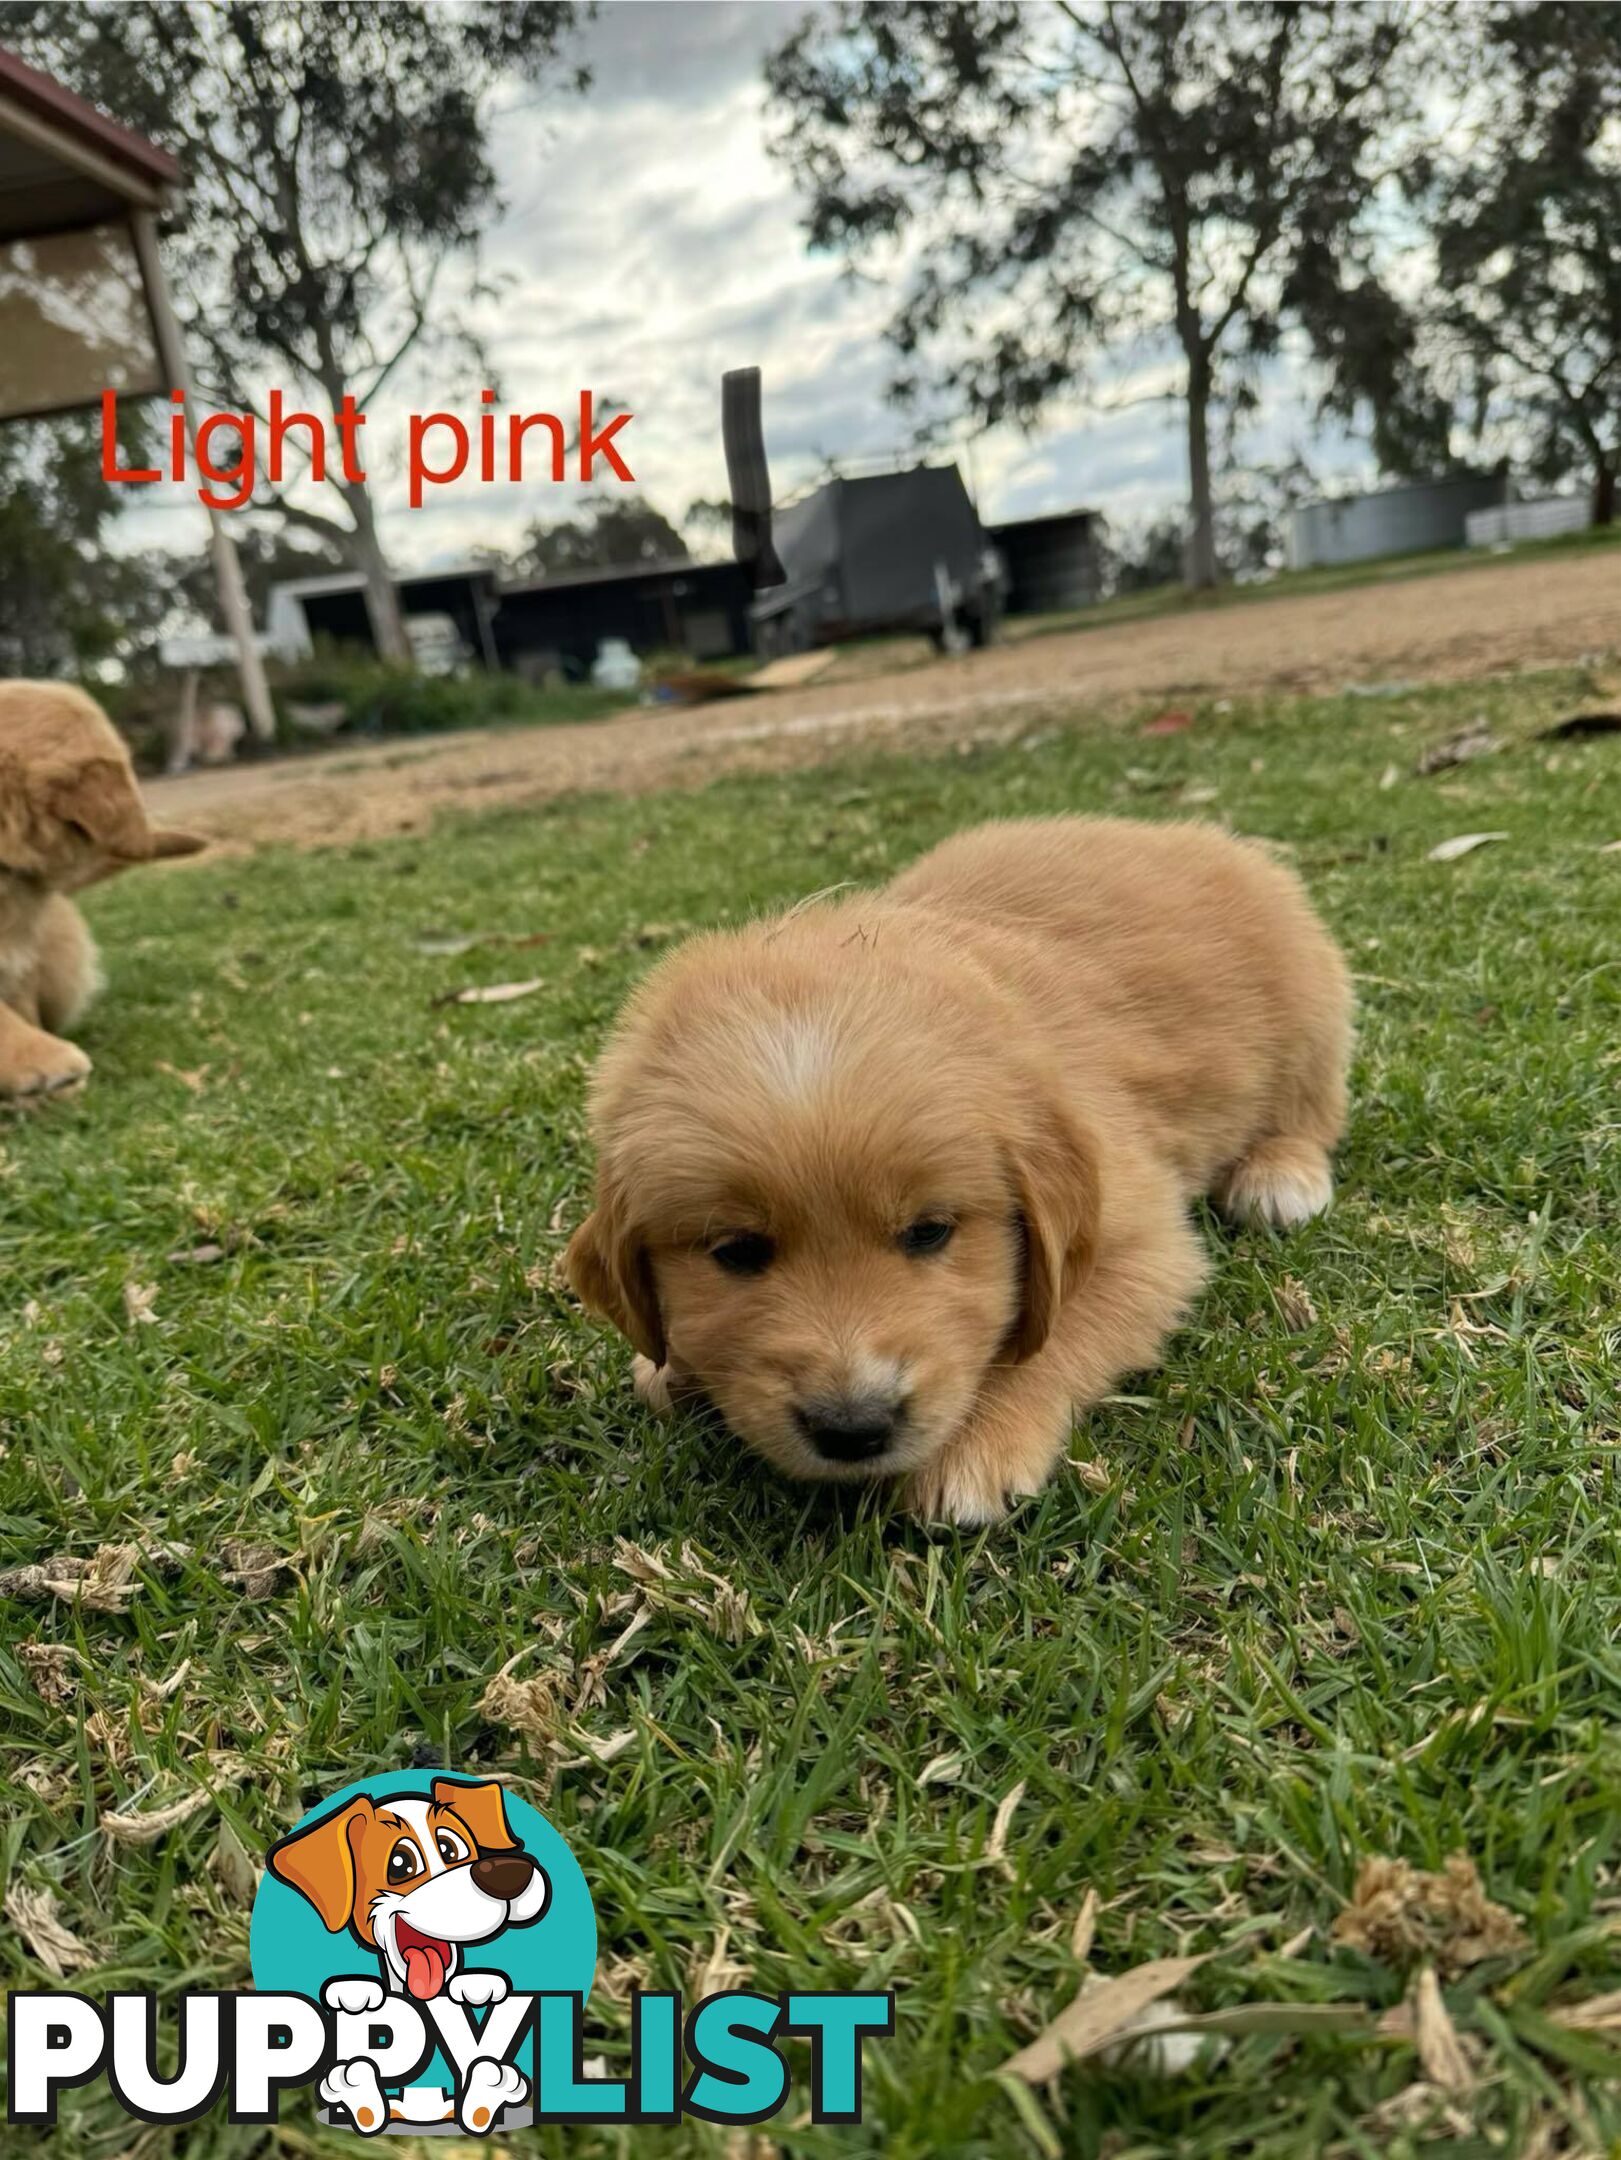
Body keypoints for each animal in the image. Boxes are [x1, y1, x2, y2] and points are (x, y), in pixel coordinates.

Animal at [566, 816, 1348, 1529]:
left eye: (929, 1231)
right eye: (735, 1251)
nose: (853, 1427)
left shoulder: (1142, 1241)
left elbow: (1051, 1335)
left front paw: (972, 1452)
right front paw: (671, 1369)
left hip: (1310, 1003)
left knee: (1310, 1106)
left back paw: (1279, 1177)